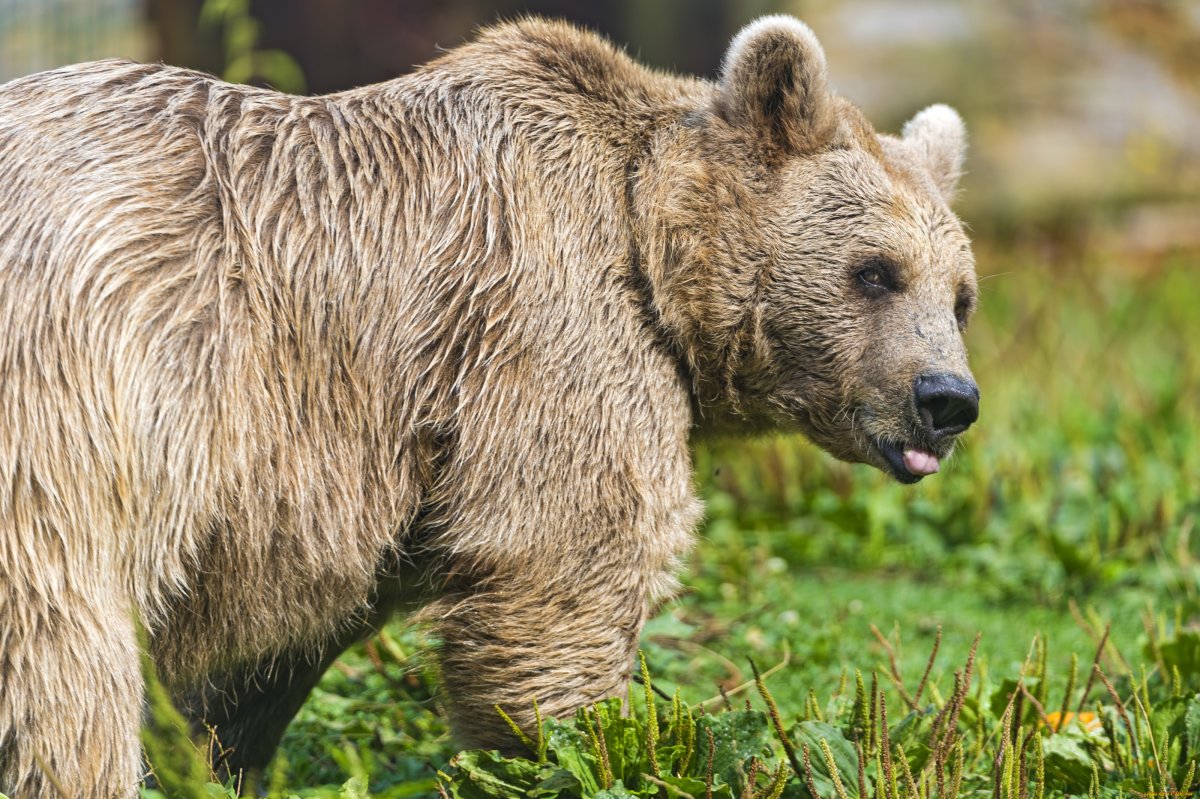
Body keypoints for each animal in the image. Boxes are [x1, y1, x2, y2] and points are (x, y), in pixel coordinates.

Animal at [0, 15, 979, 798]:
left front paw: (220, 754)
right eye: (875, 271)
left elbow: (264, 654)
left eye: (961, 296)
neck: (651, 246)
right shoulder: (537, 336)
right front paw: (593, 749)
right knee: (64, 651)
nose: (947, 398)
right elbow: (564, 579)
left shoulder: (329, 488)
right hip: (77, 385)